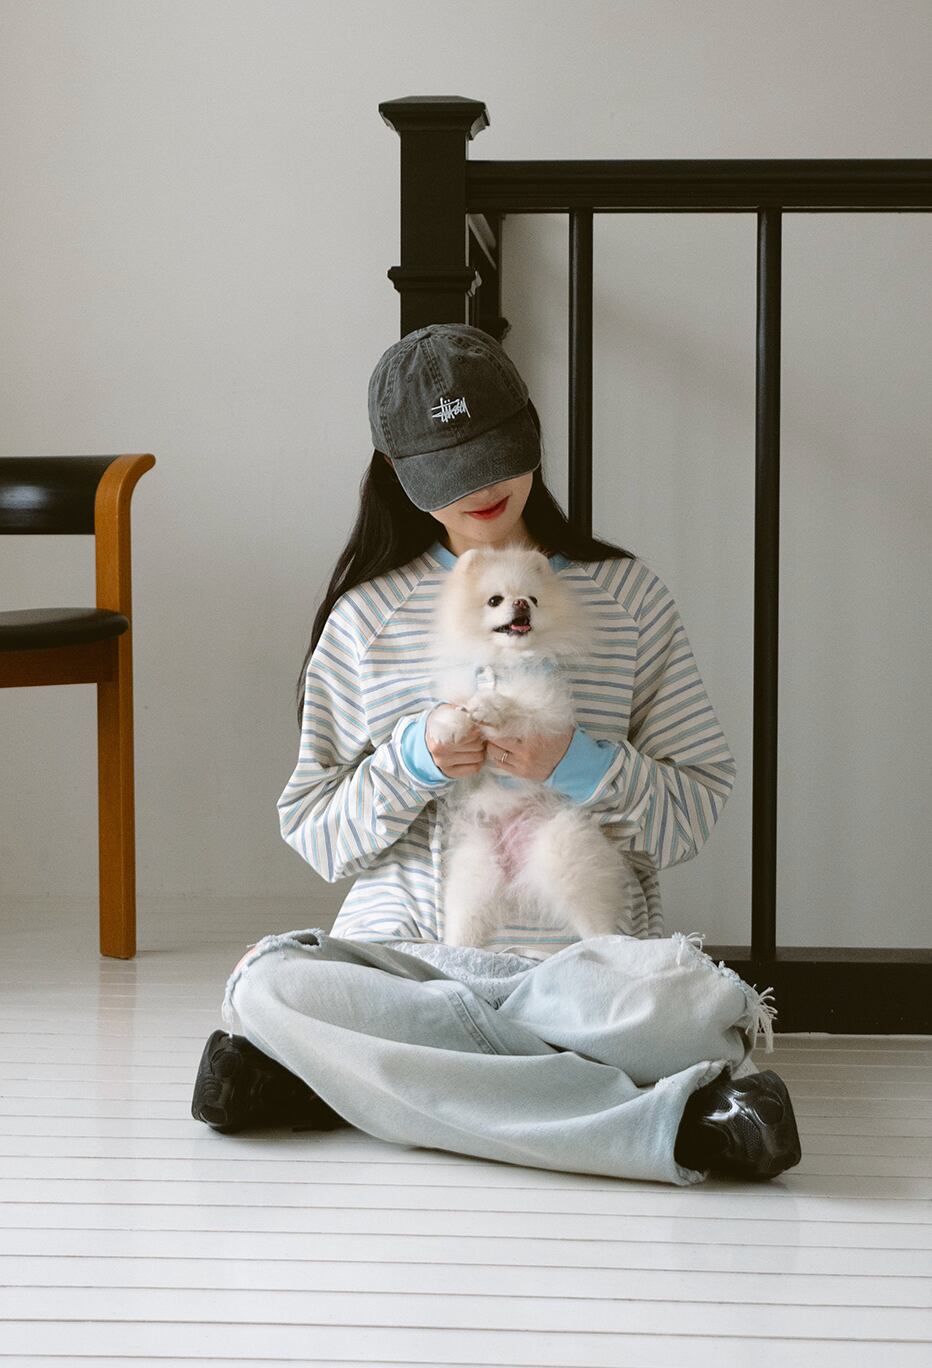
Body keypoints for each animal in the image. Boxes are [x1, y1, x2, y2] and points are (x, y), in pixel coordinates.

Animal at [426, 544, 642, 949]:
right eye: (495, 600)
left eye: (535, 599)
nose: (521, 603)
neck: (504, 664)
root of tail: (515, 860)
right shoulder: (456, 692)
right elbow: (446, 712)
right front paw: (449, 731)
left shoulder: (547, 709)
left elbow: (517, 708)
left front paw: (490, 707)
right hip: (475, 866)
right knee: (467, 916)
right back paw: (456, 947)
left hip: (561, 849)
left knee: (592, 916)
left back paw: (604, 942)